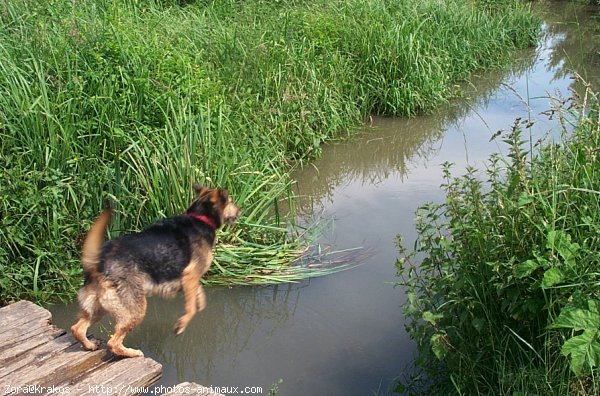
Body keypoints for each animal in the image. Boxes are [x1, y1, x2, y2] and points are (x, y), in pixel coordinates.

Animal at [71, 186, 239, 358]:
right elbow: (191, 308)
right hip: (135, 310)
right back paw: (133, 353)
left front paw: (200, 303)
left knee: (77, 328)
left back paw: (90, 345)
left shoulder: (188, 280)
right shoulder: (190, 275)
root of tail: (98, 263)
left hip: (97, 308)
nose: (239, 210)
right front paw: (181, 324)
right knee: (113, 342)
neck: (200, 217)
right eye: (230, 201)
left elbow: (198, 296)